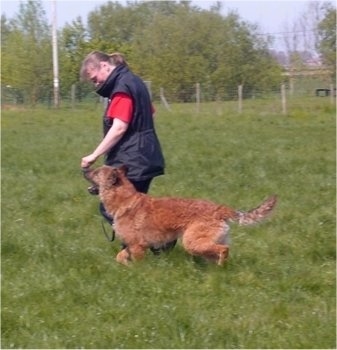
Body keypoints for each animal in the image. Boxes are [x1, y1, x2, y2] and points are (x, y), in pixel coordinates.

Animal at [83, 165, 276, 266]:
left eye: (95, 172)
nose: (84, 169)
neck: (125, 200)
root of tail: (220, 209)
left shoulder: (137, 246)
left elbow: (136, 261)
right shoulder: (132, 246)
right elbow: (120, 256)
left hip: (192, 242)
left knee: (223, 250)